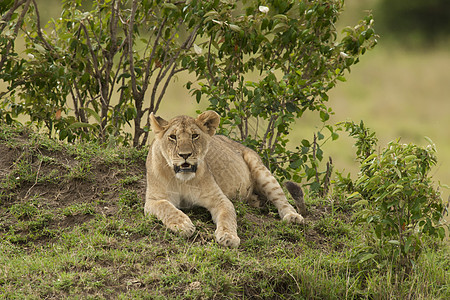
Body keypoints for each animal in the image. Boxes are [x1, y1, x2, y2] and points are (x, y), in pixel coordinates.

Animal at [145, 109, 306, 246]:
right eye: (172, 137)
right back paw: (256, 201)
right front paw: (182, 225)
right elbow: (166, 207)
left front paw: (229, 237)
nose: (185, 155)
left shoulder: (219, 199)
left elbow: (227, 217)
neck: (182, 180)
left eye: (194, 136)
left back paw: (292, 216)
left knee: (282, 199)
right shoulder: (153, 200)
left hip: (260, 169)